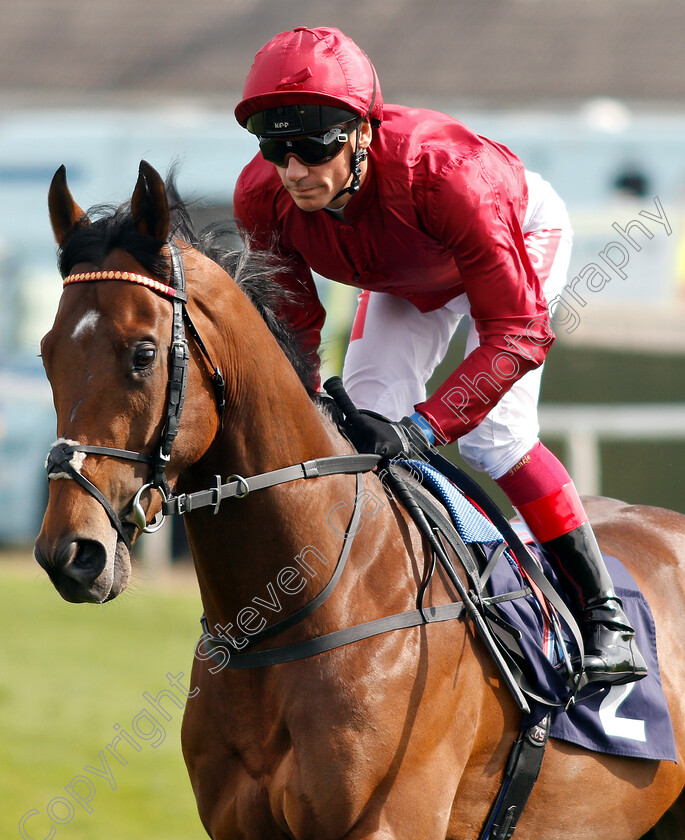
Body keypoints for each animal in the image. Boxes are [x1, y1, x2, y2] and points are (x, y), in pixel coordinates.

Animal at [36, 164, 684, 840]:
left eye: (143, 353)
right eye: (46, 352)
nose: (71, 553)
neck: (299, 608)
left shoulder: (388, 820)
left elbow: (517, 331)